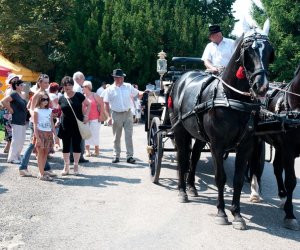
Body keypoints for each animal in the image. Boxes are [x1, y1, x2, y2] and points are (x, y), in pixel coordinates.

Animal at [169, 26, 274, 229]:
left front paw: (237, 214)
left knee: (194, 157)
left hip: (199, 135)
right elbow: (220, 177)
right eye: (248, 51)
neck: (233, 98)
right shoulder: (217, 145)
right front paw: (221, 212)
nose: (262, 87)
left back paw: (191, 187)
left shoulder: (246, 145)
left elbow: (238, 179)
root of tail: (183, 77)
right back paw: (182, 191)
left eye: (268, 52)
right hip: (179, 130)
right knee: (182, 159)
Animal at [251, 64, 300, 230]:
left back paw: (282, 196)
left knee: (277, 168)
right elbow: (291, 181)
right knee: (254, 164)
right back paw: (255, 192)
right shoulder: (289, 150)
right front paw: (290, 215)